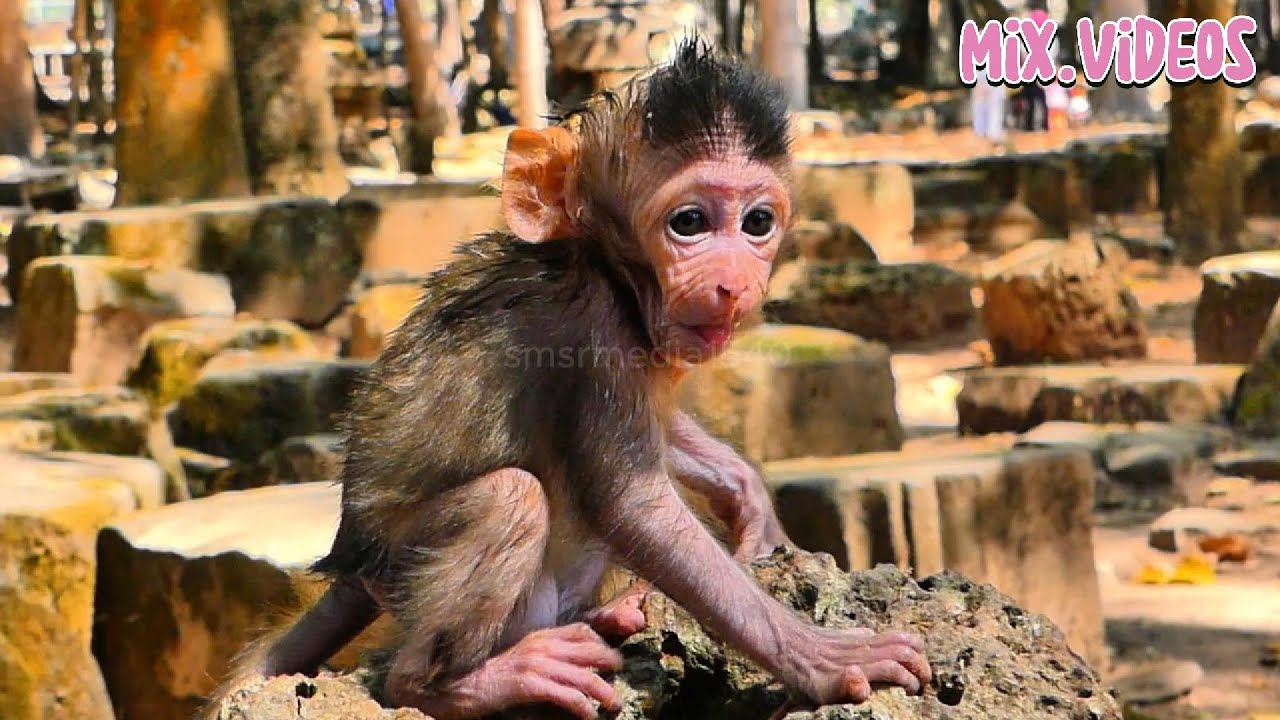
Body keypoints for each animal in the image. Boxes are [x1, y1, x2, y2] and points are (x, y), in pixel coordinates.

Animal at [215, 38, 932, 720]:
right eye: (690, 223)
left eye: (757, 222)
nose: (733, 283)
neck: (609, 270)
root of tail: (351, 561)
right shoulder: (596, 332)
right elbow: (632, 507)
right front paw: (821, 657)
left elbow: (653, 446)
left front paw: (750, 502)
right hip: (401, 567)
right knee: (510, 500)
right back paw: (457, 683)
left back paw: (597, 618)